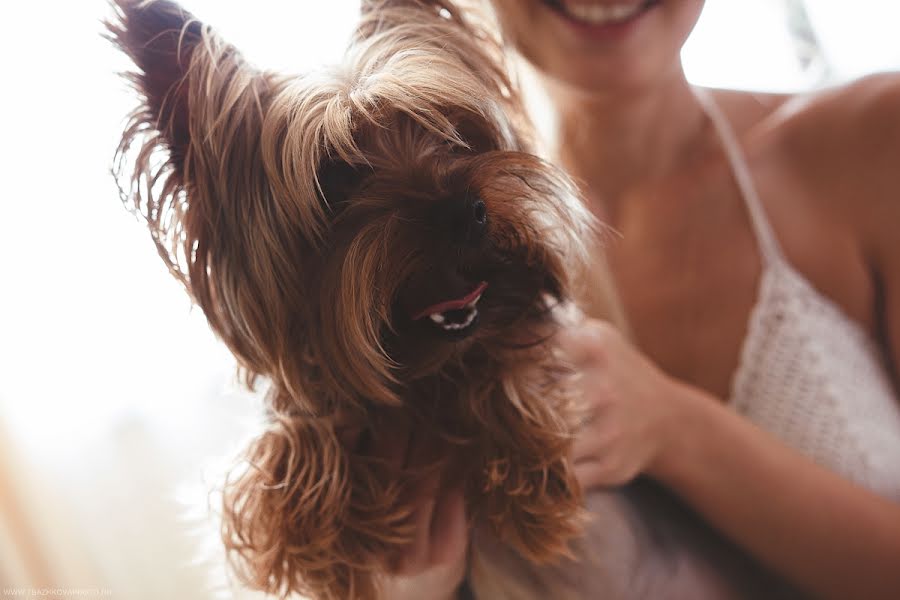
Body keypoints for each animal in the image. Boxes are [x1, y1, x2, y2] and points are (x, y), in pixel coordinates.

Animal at [107, 2, 596, 596]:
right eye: (336, 175)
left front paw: (526, 474)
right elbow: (284, 457)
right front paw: (312, 510)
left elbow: (501, 356)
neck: (423, 381)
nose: (464, 211)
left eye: (451, 132)